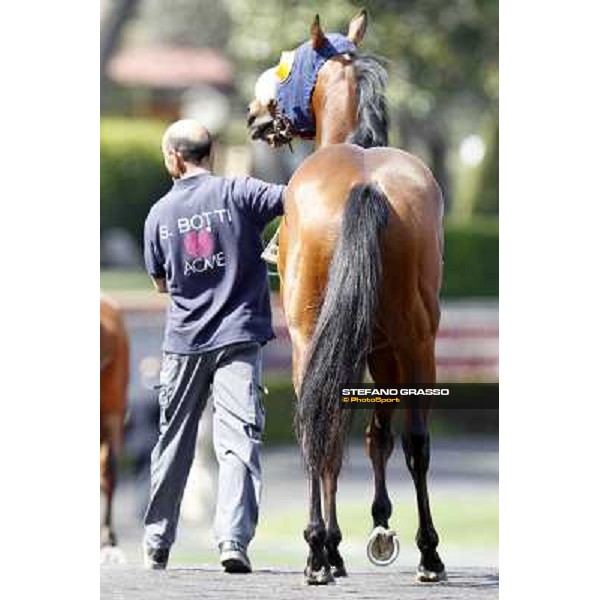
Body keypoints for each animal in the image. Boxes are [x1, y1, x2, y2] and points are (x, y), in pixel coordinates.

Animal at [246, 9, 448, 584]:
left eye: (287, 64)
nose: (255, 114)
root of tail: (367, 186)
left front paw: (334, 544)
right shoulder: (379, 347)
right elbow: (377, 431)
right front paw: (364, 532)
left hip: (315, 337)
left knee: (324, 431)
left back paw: (322, 549)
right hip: (413, 342)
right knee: (414, 440)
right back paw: (426, 554)